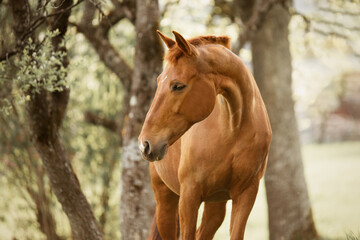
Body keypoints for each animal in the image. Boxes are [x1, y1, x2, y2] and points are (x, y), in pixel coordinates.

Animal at [139, 30, 272, 240]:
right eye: (159, 81)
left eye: (178, 86)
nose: (145, 143)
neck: (232, 128)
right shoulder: (189, 197)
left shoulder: (246, 195)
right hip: (166, 201)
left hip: (215, 204)